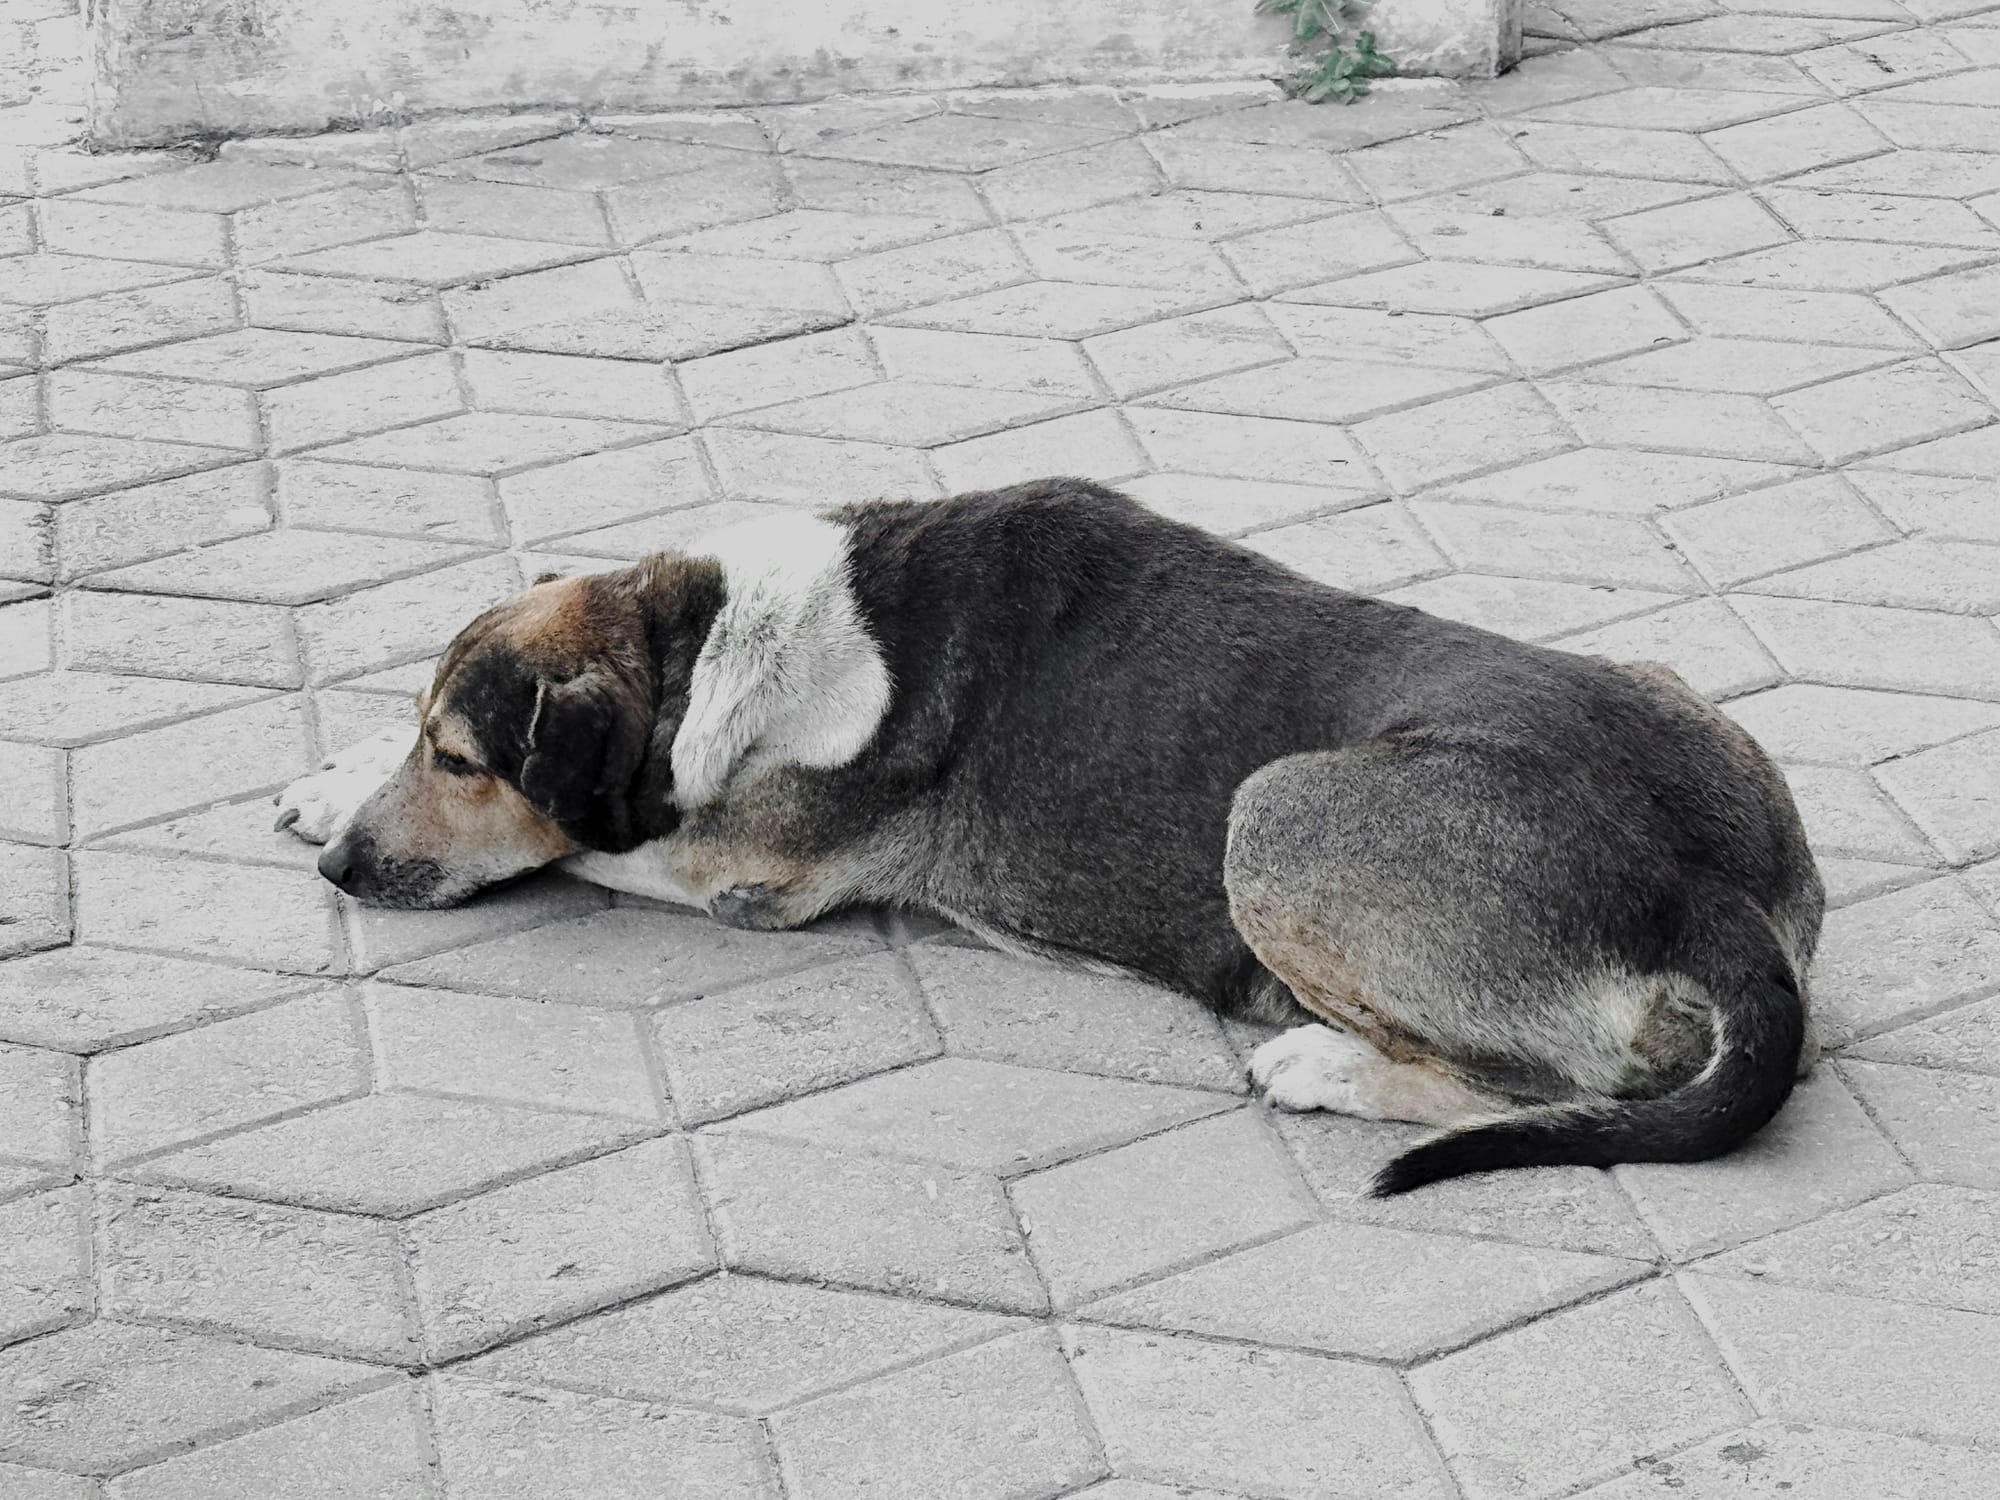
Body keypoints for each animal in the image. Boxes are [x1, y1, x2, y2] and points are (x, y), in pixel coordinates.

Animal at [278, 478, 1824, 1194]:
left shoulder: (743, 873)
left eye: (463, 761)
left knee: (1531, 1087)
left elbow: (585, 840)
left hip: (1273, 808)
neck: (709, 640)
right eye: (429, 740)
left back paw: (1326, 1068)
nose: (343, 875)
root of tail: (1714, 898)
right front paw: (327, 776)